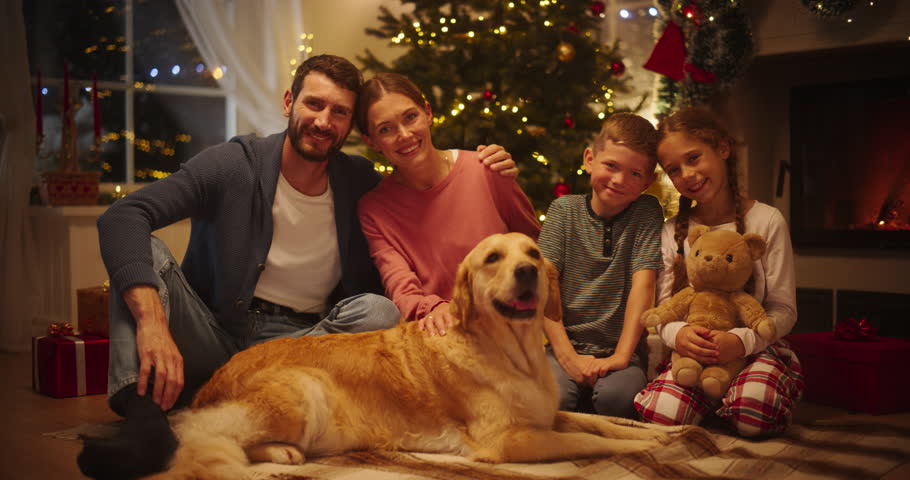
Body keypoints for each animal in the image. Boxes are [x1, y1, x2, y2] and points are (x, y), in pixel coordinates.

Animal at [144, 231, 668, 478]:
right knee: (213, 438)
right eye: (493, 259)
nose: (527, 272)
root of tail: (213, 379)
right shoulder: (508, 441)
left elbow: (598, 423)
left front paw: (651, 435)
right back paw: (282, 452)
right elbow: (588, 441)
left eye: (533, 254)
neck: (513, 352)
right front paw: (642, 448)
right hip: (302, 390)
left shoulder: (544, 417)